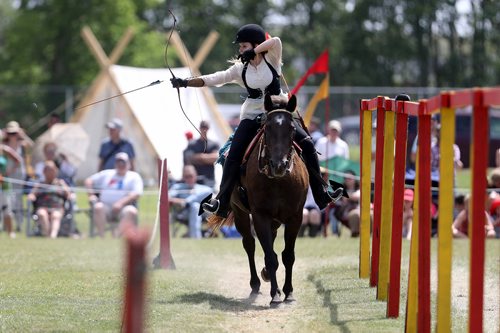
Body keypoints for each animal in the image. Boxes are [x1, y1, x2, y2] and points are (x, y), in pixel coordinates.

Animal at [230, 93, 308, 304]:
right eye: (267, 128)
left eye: (292, 128)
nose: (278, 165)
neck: (279, 181)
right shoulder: (260, 216)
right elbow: (270, 256)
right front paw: (275, 294)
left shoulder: (295, 217)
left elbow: (288, 255)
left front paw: (288, 292)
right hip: (240, 213)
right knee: (249, 244)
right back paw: (256, 284)